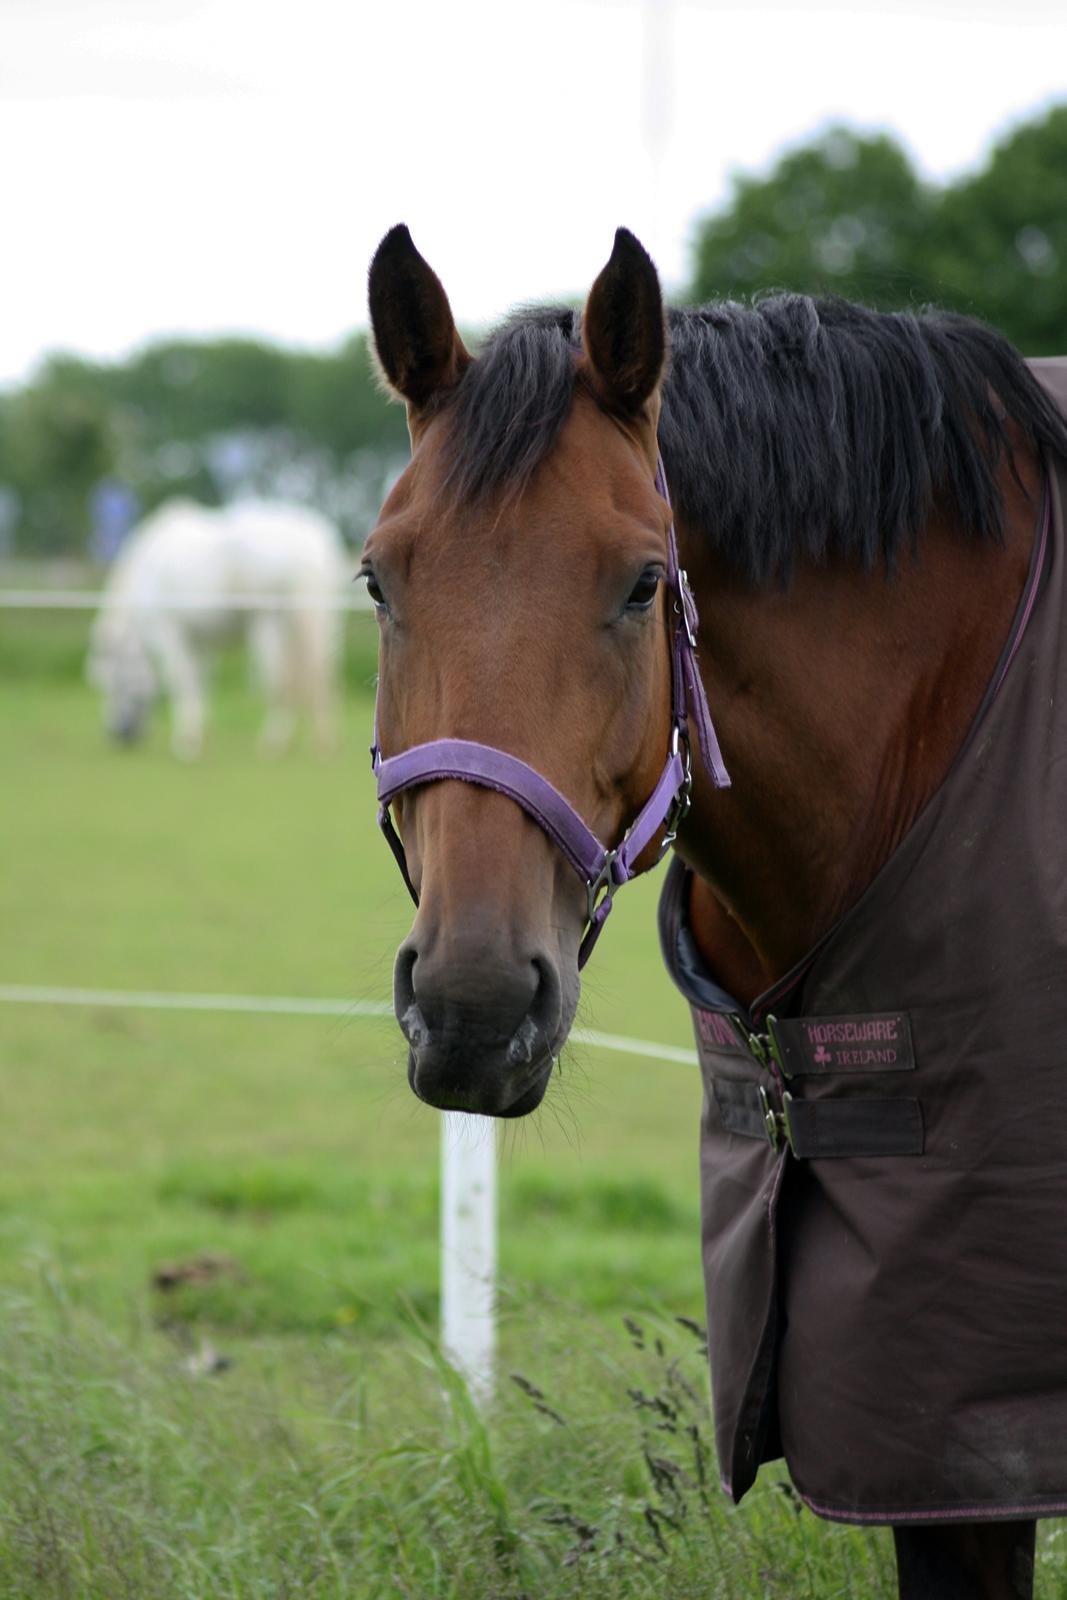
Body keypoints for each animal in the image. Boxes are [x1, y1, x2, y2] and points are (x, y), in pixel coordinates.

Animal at [87, 499, 348, 755]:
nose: (120, 734)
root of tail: (307, 538)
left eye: (112, 683)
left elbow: (183, 682)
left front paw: (187, 741)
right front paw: (202, 735)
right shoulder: (202, 642)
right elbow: (202, 684)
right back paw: (322, 739)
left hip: (269, 624)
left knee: (280, 679)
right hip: (321, 623)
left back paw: (274, 742)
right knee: (320, 675)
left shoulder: (170, 635)